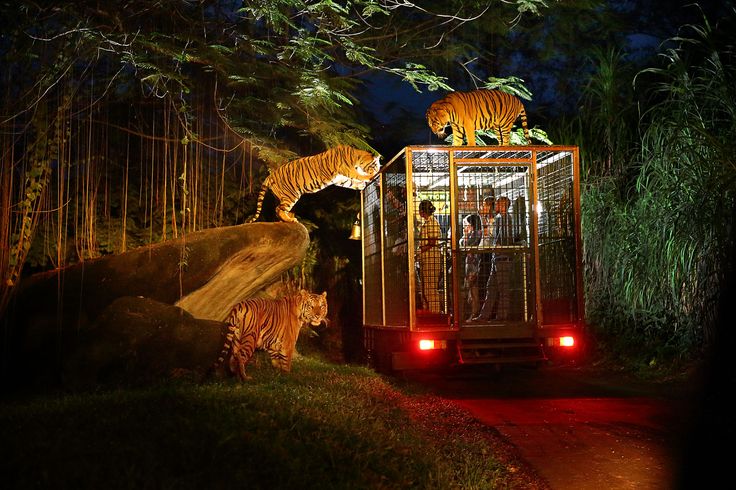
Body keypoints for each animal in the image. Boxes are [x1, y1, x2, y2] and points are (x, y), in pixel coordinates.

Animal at [250, 145, 382, 223]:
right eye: (375, 165)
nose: (377, 169)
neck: (357, 157)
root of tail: (270, 175)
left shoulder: (339, 179)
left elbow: (350, 182)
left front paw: (361, 185)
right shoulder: (347, 170)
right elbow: (358, 176)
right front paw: (369, 177)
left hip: (282, 196)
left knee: (278, 209)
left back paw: (288, 219)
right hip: (291, 195)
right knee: (278, 209)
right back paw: (291, 220)